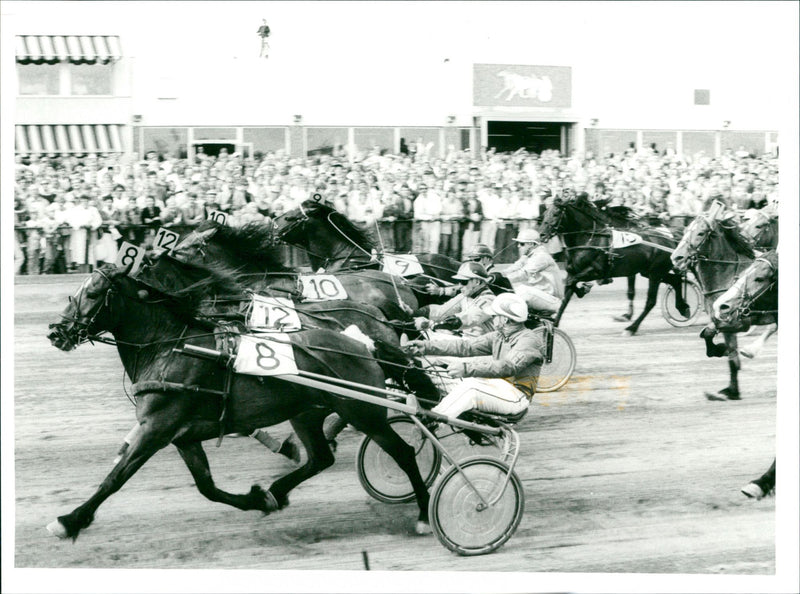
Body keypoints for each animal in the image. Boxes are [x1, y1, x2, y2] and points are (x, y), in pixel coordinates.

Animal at [48, 260, 438, 536]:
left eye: (94, 293)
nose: (57, 332)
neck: (171, 348)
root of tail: (364, 345)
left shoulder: (157, 428)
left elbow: (115, 478)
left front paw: (69, 521)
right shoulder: (182, 435)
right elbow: (206, 486)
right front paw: (256, 499)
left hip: (363, 410)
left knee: (403, 452)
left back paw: (423, 514)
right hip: (307, 412)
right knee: (319, 458)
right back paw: (276, 491)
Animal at [536, 193, 692, 336]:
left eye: (556, 214)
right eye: (544, 214)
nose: (542, 235)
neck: (590, 239)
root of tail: (670, 241)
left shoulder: (597, 271)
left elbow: (572, 283)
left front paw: (583, 289)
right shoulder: (573, 272)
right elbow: (566, 295)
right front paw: (553, 324)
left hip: (655, 273)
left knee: (651, 301)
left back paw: (631, 328)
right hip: (650, 272)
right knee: (676, 280)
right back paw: (683, 308)